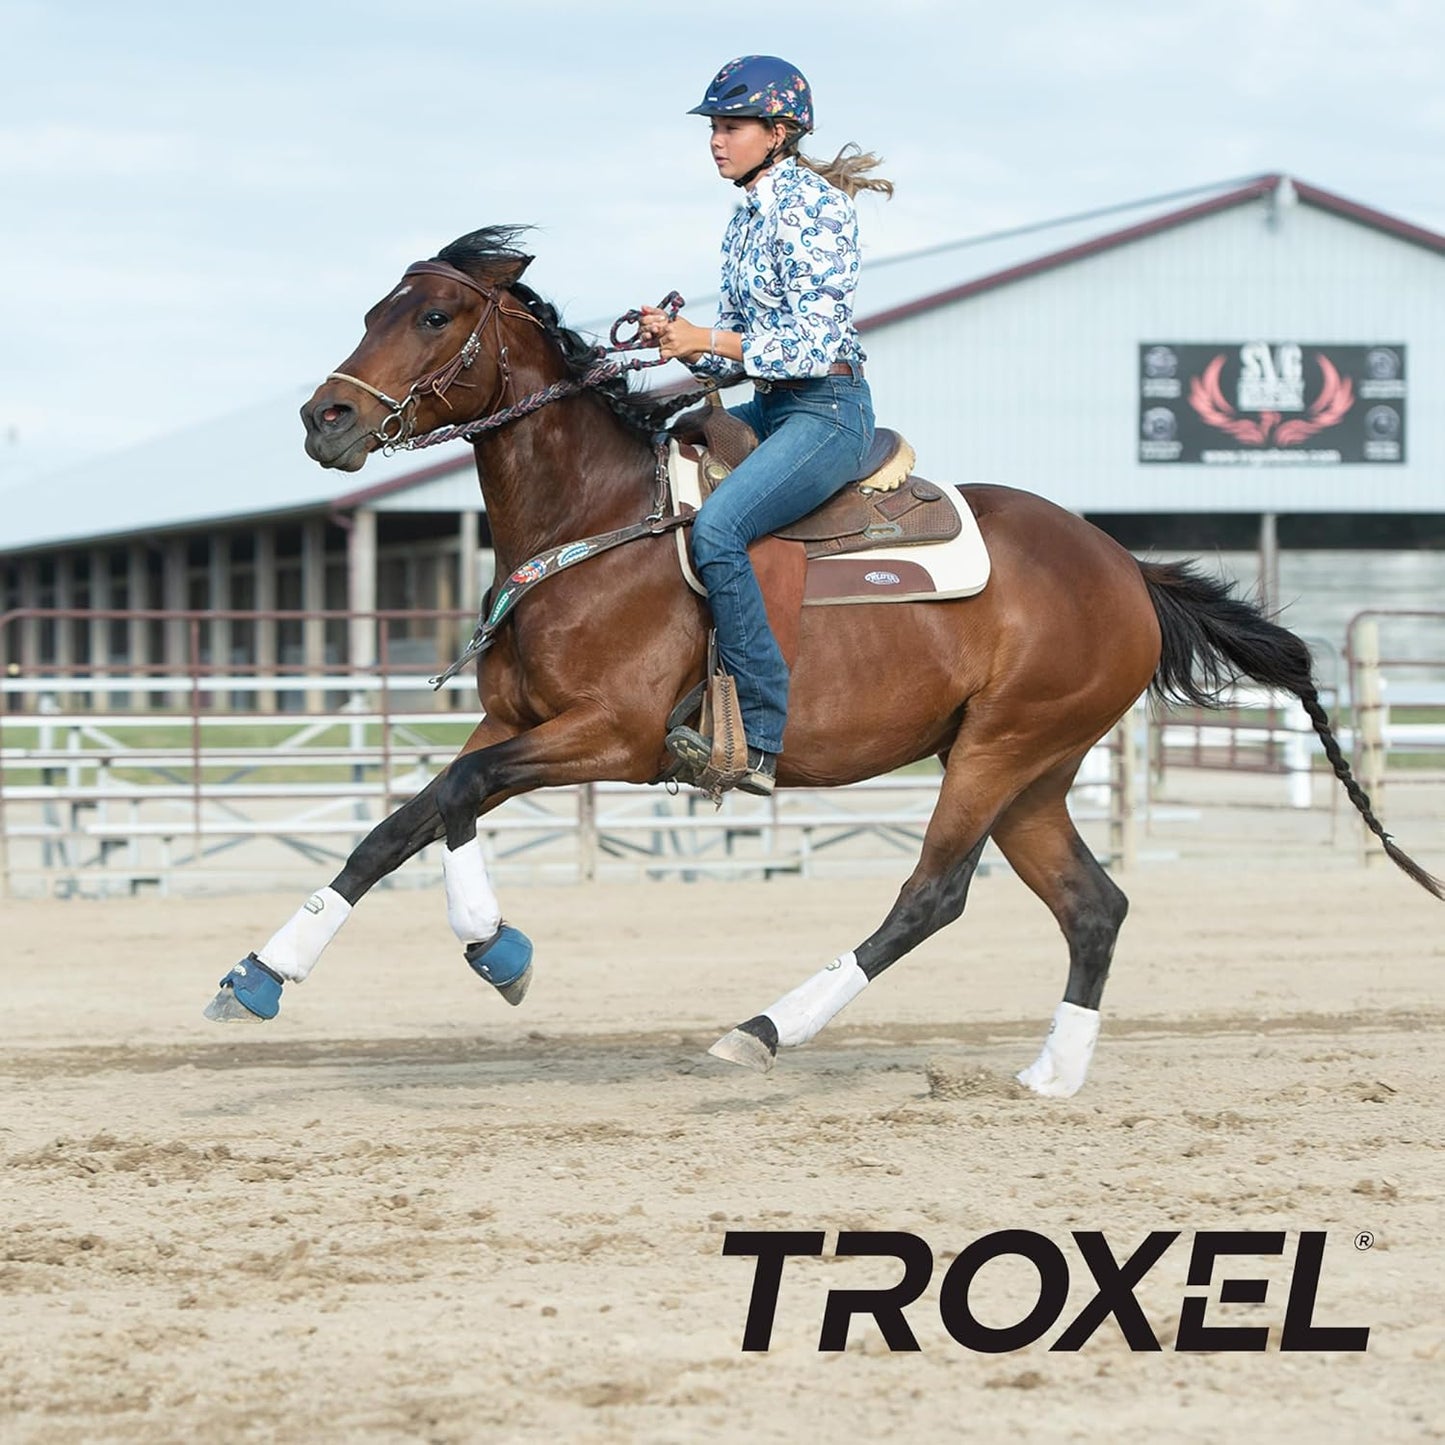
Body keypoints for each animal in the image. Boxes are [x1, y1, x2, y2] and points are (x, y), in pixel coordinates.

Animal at [205, 224, 1442, 1098]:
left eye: (432, 312)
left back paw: (760, 1028)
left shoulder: (609, 735)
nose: (324, 419)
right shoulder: (517, 723)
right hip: (1032, 769)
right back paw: (1050, 1072)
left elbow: (445, 798)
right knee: (1093, 905)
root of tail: (1124, 567)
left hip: (998, 752)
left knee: (930, 894)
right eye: (374, 307)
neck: (597, 521)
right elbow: (412, 817)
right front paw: (290, 969)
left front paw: (469, 951)